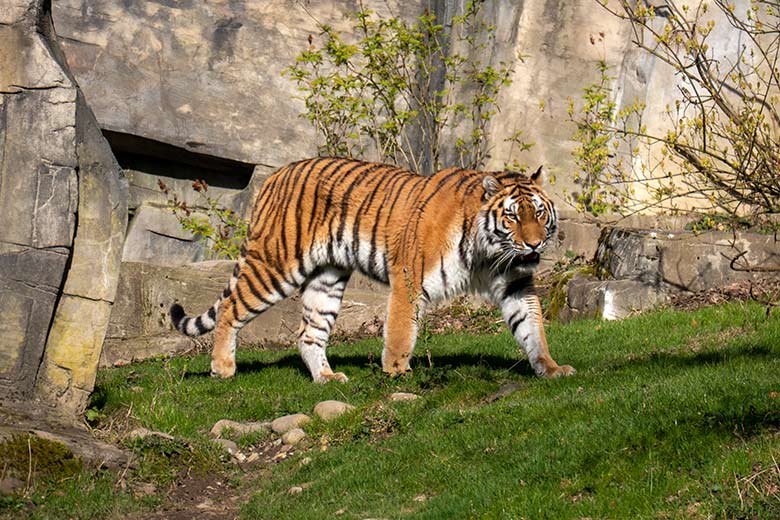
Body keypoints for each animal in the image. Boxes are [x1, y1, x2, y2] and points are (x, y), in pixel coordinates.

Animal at [171, 157, 576, 382]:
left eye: (539, 213)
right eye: (513, 216)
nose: (534, 244)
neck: (489, 252)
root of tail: (274, 176)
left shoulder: (514, 285)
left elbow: (532, 329)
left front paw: (551, 368)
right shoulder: (409, 279)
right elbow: (401, 330)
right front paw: (397, 372)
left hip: (327, 278)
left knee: (309, 332)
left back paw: (327, 378)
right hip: (276, 264)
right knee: (230, 308)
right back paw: (222, 368)